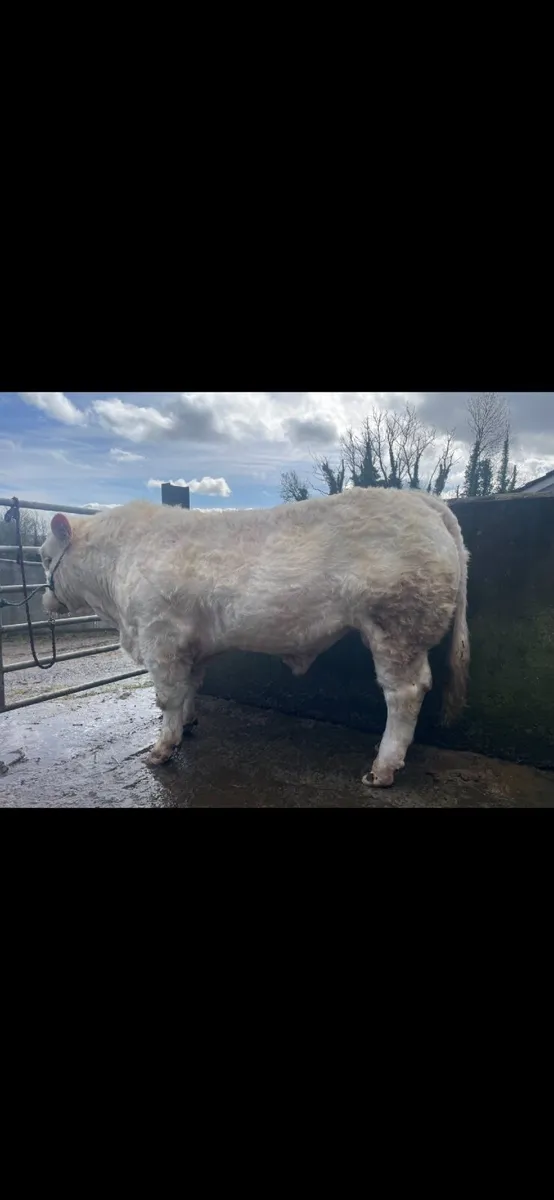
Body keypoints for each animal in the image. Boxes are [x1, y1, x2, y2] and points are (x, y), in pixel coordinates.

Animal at [40, 489, 469, 788]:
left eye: (44, 557)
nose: (44, 599)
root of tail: (420, 499)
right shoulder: (192, 646)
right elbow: (190, 686)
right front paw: (188, 723)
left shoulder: (159, 635)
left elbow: (167, 696)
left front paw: (162, 748)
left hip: (397, 627)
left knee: (404, 694)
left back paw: (382, 768)